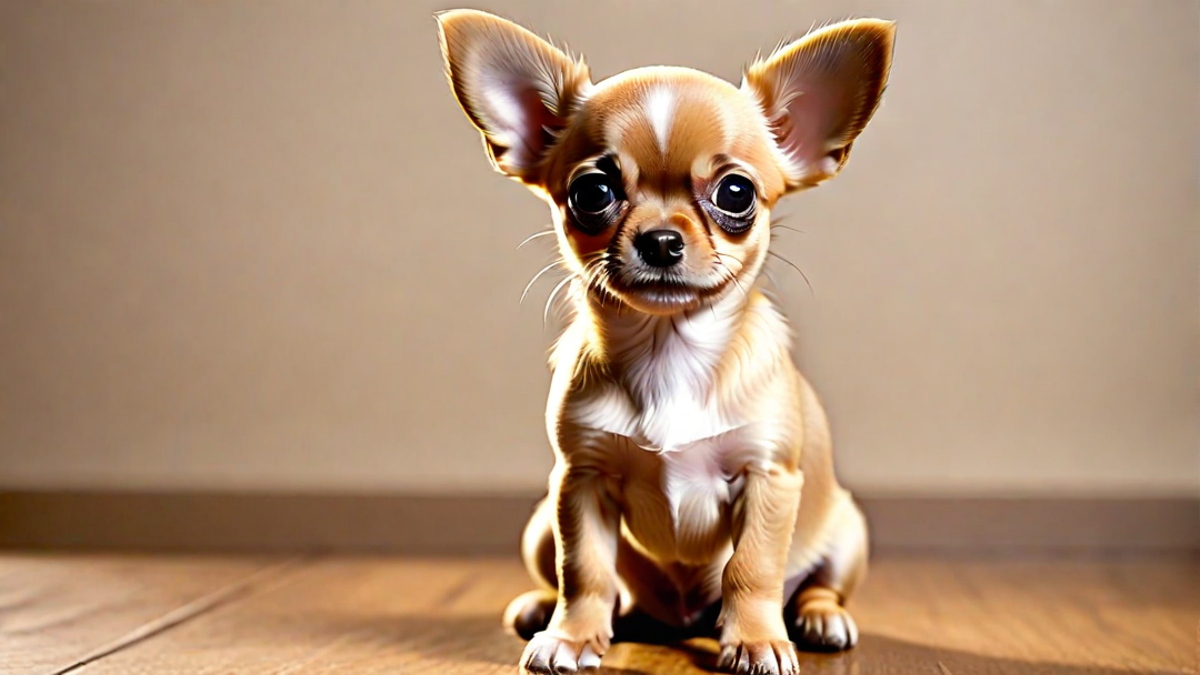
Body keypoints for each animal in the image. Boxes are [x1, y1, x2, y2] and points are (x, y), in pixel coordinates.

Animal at [436, 9, 897, 672]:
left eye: (736, 193)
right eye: (592, 193)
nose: (659, 239)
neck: (668, 352)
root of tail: (677, 621)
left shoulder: (767, 479)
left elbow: (752, 568)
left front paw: (755, 640)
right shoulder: (581, 481)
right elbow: (585, 570)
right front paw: (572, 636)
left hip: (845, 529)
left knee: (819, 584)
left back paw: (818, 617)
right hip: (540, 525)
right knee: (589, 584)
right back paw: (546, 609)